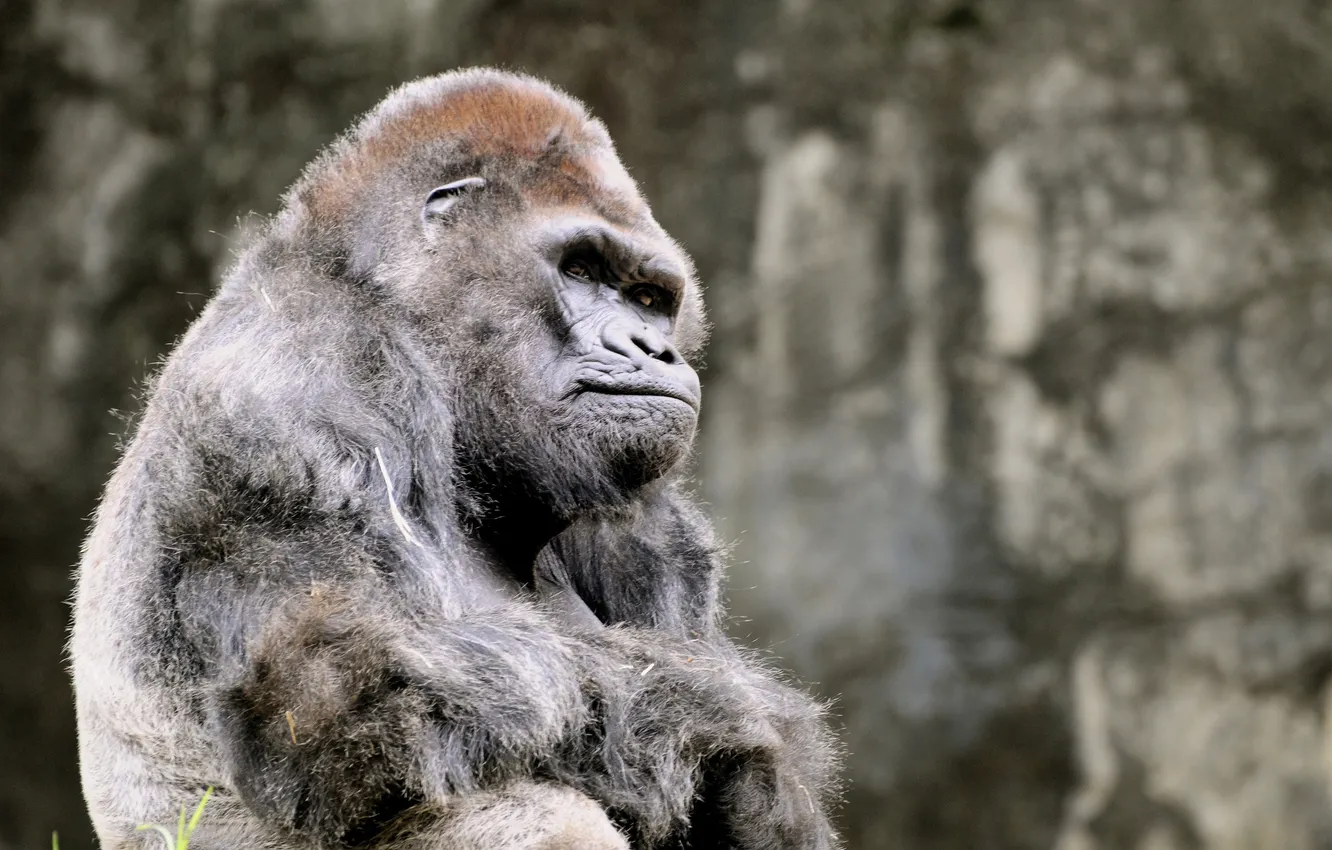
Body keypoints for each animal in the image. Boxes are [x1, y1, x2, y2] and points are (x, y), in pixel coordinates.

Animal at [71, 68, 841, 850]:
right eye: (580, 268)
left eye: (650, 298)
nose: (651, 348)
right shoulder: (298, 380)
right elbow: (350, 692)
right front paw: (747, 731)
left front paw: (767, 796)